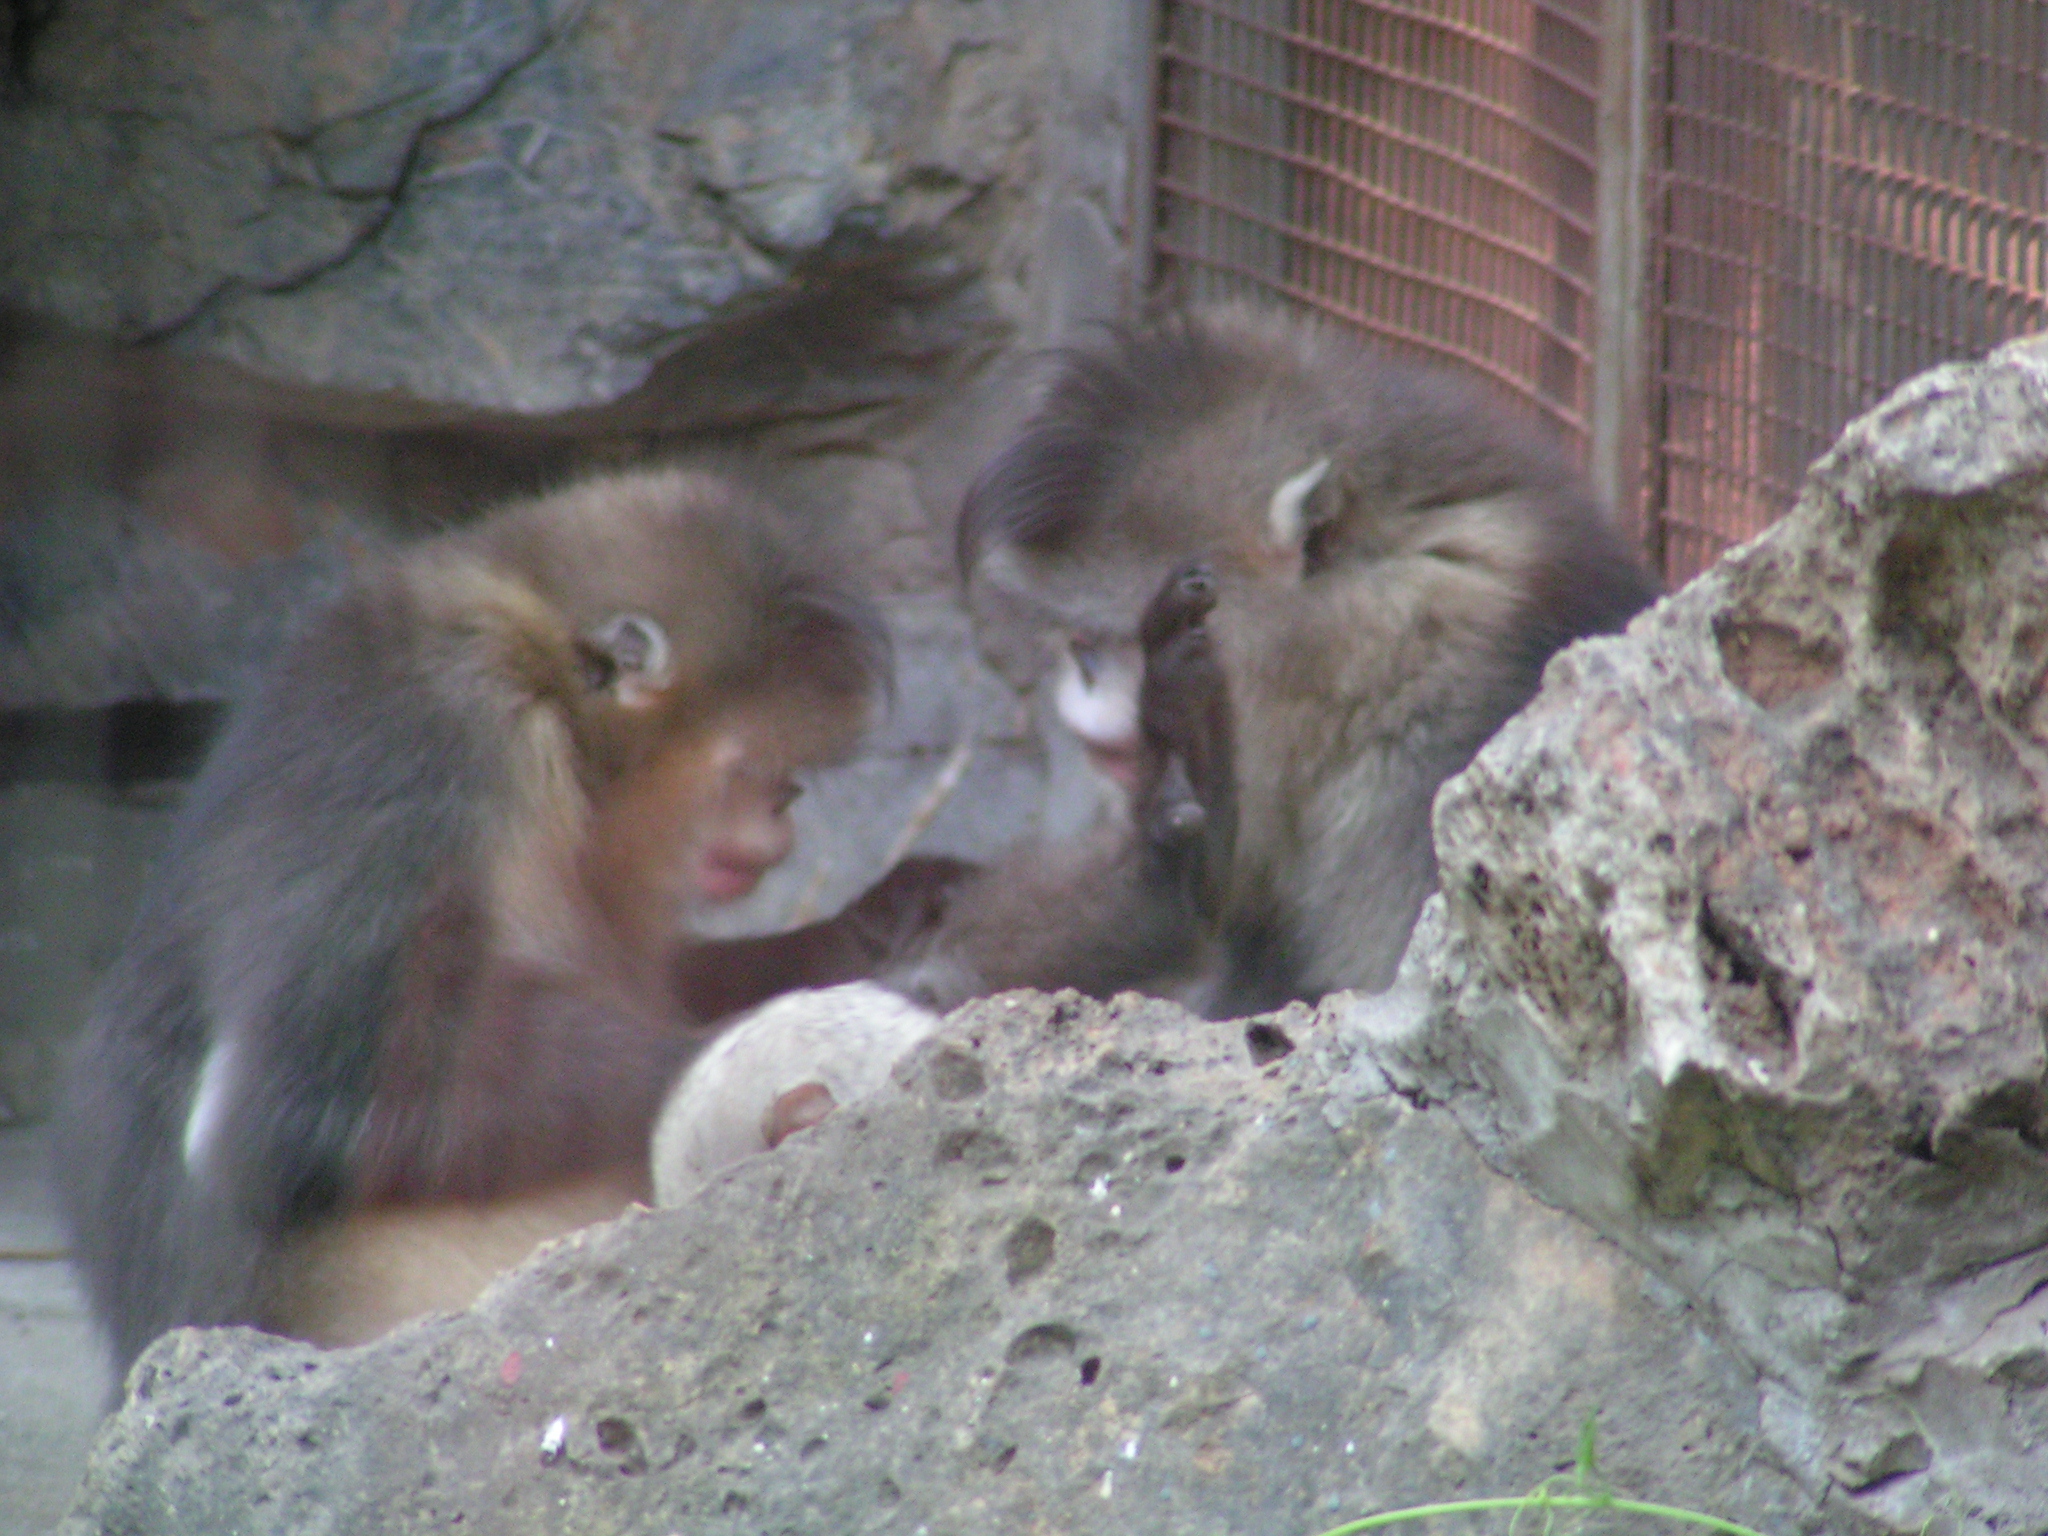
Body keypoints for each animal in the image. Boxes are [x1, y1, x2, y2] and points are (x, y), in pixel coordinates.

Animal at [51, 462, 962, 1376]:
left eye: (791, 781)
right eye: (762, 773)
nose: (783, 819)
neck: (541, 664)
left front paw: (876, 925)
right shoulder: (443, 732)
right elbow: (273, 1110)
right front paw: (764, 1048)